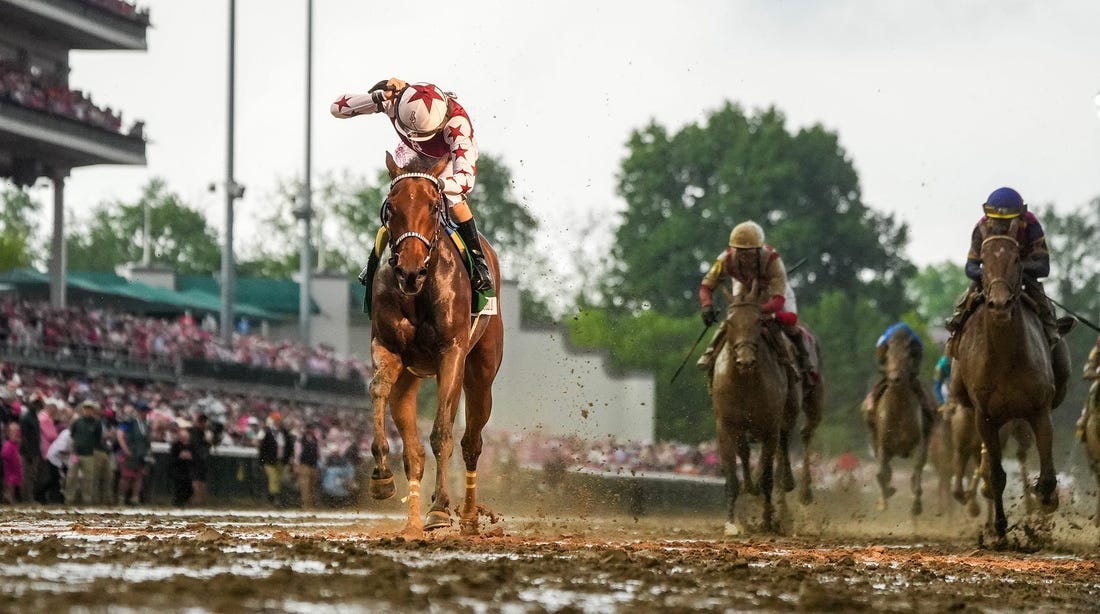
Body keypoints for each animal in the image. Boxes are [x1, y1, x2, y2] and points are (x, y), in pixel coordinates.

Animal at [369, 154, 506, 539]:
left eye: (433, 207)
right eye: (391, 208)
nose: (410, 271)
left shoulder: (451, 354)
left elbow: (443, 433)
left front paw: (441, 509)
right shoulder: (387, 347)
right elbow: (377, 390)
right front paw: (380, 474)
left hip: (481, 374)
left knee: (471, 443)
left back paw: (470, 517)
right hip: (410, 378)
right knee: (412, 453)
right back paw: (412, 520)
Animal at [712, 286, 800, 536]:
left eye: (758, 321)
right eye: (729, 322)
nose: (745, 361)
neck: (746, 383)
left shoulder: (770, 427)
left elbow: (768, 478)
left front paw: (767, 521)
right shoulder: (726, 426)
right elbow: (732, 475)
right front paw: (731, 523)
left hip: (787, 415)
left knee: (782, 446)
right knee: (745, 452)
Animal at [950, 226, 1060, 539]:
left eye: (1016, 259)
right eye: (984, 261)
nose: (999, 304)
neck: (1005, 357)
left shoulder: (1038, 410)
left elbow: (1047, 475)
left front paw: (1045, 501)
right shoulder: (985, 418)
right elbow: (996, 475)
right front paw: (998, 528)